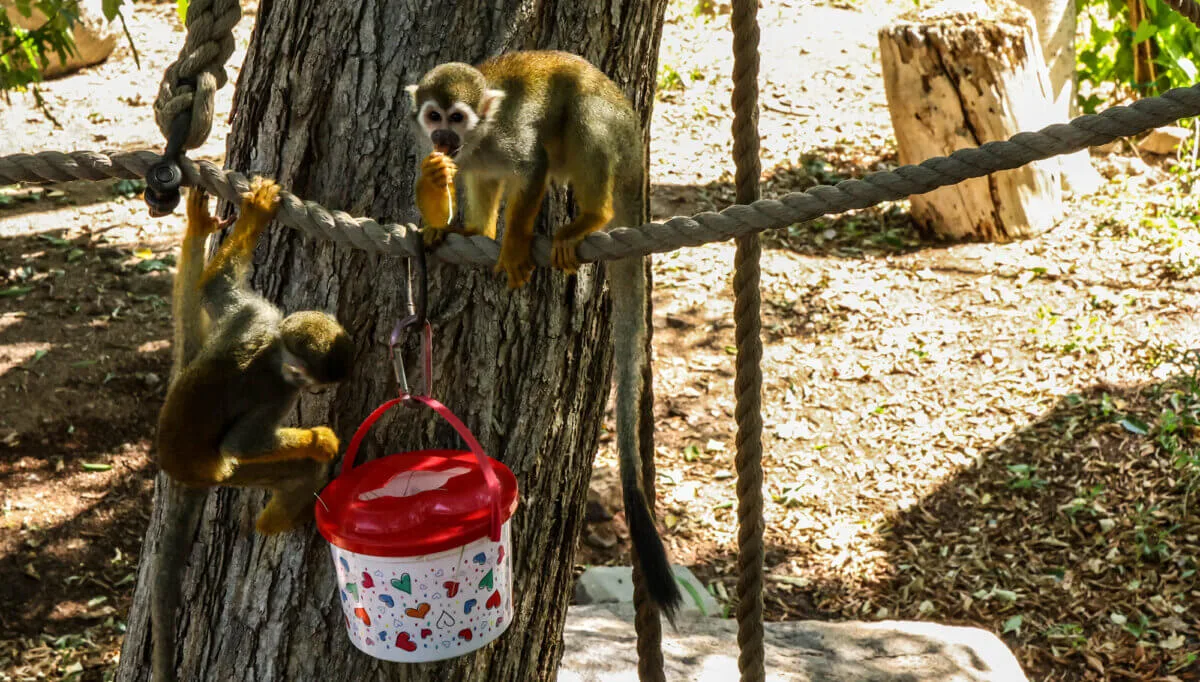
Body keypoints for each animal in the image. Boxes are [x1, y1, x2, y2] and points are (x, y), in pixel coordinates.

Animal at [408, 50, 686, 619]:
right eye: (433, 117)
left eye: (458, 117)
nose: (444, 137)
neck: (478, 140)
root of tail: (637, 145)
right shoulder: (461, 154)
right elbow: (475, 181)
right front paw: (451, 218)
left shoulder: (508, 140)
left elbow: (530, 169)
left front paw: (513, 244)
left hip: (614, 132)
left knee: (581, 119)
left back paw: (592, 217)